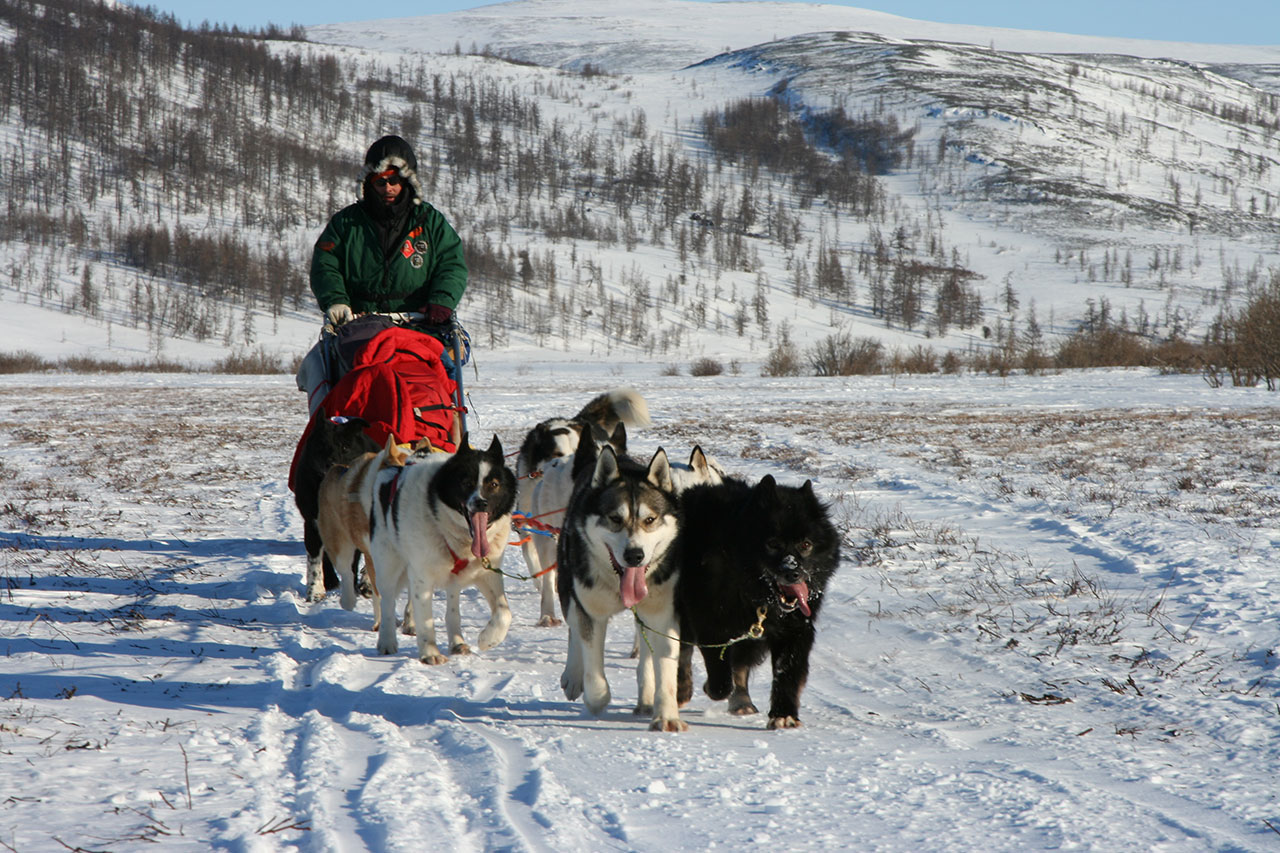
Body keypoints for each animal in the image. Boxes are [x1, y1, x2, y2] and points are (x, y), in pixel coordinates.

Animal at [368, 435, 517, 660]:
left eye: (494, 484)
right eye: (466, 482)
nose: (481, 503)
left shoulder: (486, 572)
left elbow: (504, 612)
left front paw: (489, 638)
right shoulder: (422, 576)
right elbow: (425, 620)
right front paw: (430, 653)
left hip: (451, 579)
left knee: (452, 609)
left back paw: (457, 642)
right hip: (388, 564)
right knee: (387, 602)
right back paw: (387, 641)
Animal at [555, 440, 686, 727]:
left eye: (650, 520)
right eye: (615, 519)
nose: (634, 555)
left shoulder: (662, 614)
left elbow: (665, 665)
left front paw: (667, 715)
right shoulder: (591, 611)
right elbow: (594, 674)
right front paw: (596, 698)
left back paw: (646, 697)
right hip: (567, 586)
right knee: (573, 628)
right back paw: (573, 676)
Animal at [675, 471, 844, 722]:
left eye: (806, 544)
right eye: (773, 544)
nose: (793, 573)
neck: (757, 595)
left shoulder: (794, 628)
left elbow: (787, 672)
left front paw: (784, 714)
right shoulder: (710, 623)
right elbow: (719, 678)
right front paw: (710, 688)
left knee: (740, 665)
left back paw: (742, 702)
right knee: (684, 653)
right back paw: (683, 690)